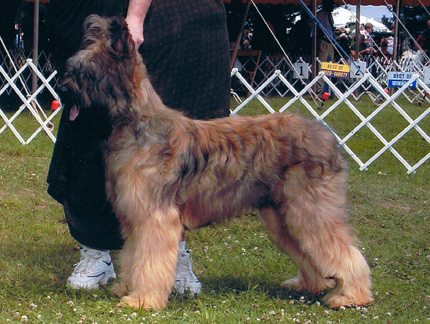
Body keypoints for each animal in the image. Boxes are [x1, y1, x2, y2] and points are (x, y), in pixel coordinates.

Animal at [61, 15, 372, 312]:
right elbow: (133, 257)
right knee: (310, 252)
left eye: (89, 73)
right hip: (283, 216)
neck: (135, 125)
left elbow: (149, 262)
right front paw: (127, 289)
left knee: (343, 251)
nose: (62, 90)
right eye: (71, 68)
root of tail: (326, 134)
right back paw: (311, 284)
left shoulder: (153, 217)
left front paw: (142, 300)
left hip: (309, 210)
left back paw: (350, 295)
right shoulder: (134, 217)